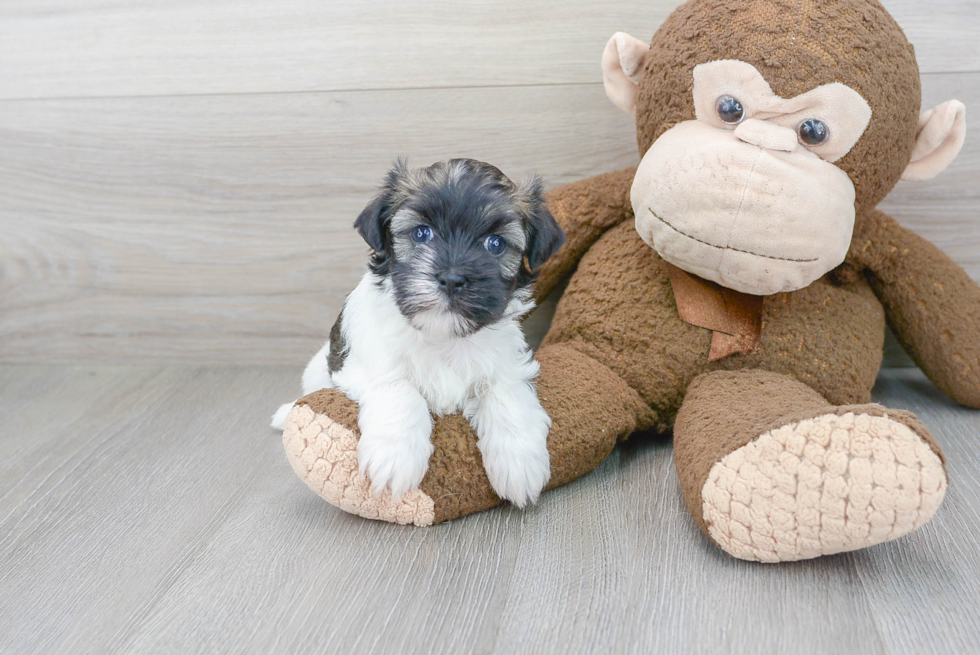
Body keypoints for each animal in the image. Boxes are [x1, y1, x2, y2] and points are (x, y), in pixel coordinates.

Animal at [276, 159, 568, 508]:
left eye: (495, 243)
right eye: (421, 233)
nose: (452, 278)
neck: (442, 337)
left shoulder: (509, 365)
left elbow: (507, 396)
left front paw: (520, 463)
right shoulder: (369, 364)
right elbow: (401, 391)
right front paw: (394, 458)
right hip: (318, 369)